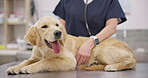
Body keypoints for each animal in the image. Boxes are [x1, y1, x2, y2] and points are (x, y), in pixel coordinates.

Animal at [5, 16, 136, 75]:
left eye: (57, 25)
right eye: (44, 27)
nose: (58, 33)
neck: (45, 50)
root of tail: (131, 51)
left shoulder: (70, 60)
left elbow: (47, 61)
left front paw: (29, 68)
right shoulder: (34, 57)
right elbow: (26, 61)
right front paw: (14, 67)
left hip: (101, 50)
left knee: (131, 62)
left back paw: (112, 66)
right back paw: (94, 64)